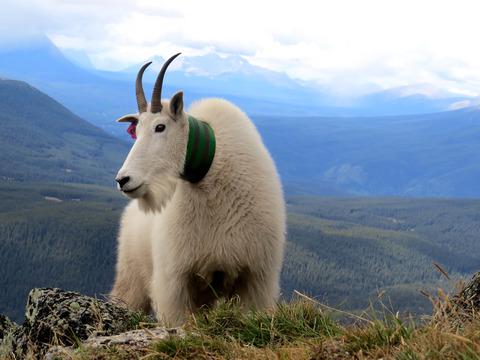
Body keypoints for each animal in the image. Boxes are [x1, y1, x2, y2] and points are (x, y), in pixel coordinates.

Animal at [109, 54, 284, 326]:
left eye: (160, 127)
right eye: (135, 131)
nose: (123, 179)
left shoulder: (255, 278)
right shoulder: (175, 281)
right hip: (132, 276)